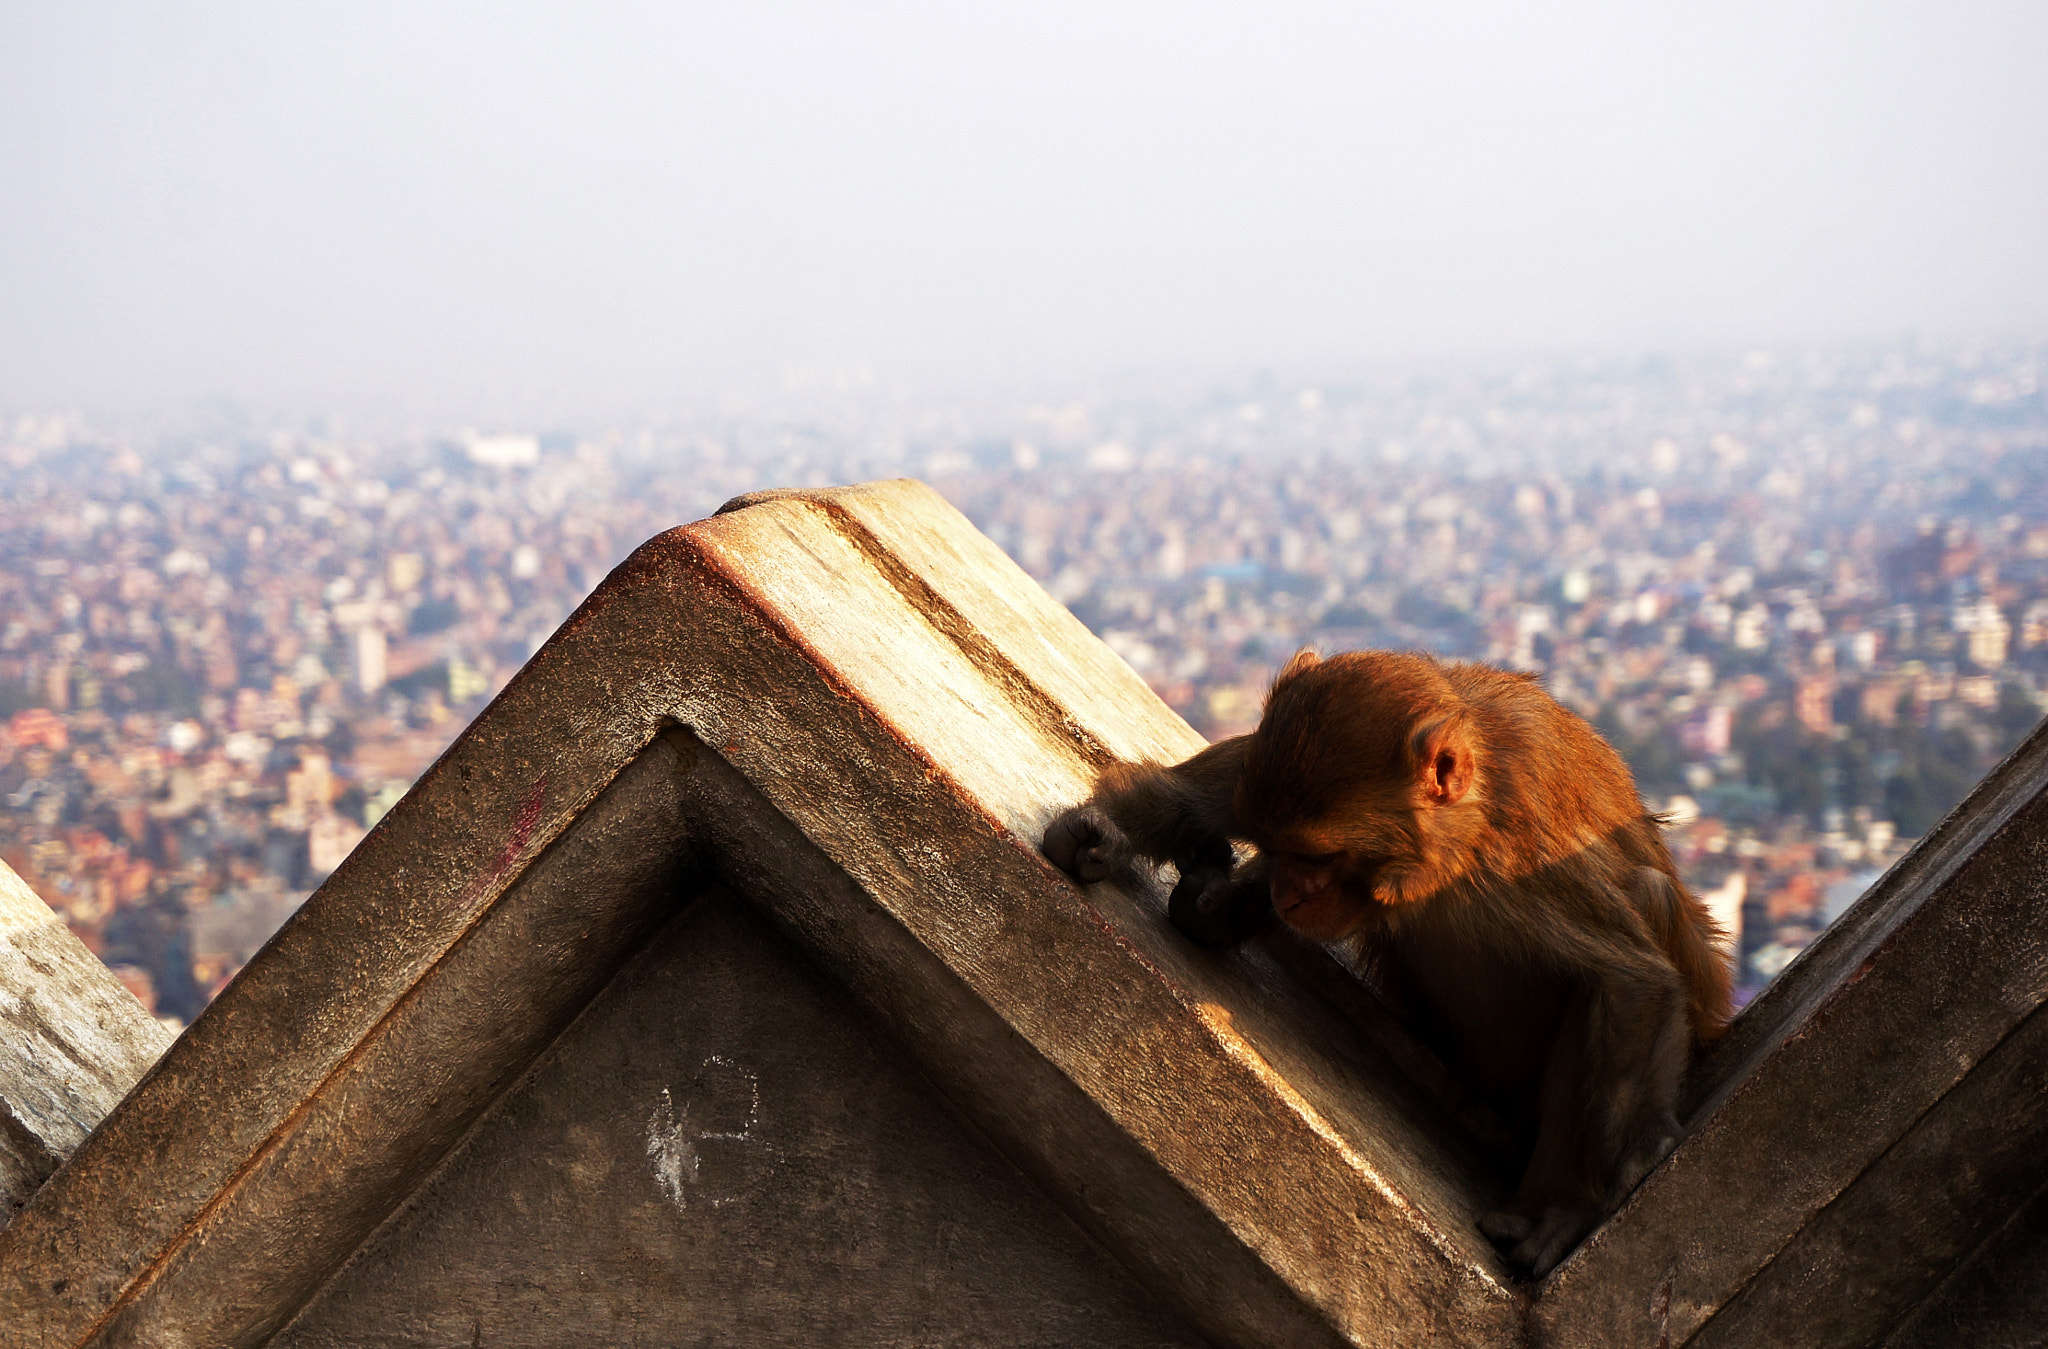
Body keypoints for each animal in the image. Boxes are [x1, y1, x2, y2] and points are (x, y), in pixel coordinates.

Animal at [1043, 649, 1732, 1278]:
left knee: (1647, 897)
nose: (1287, 893)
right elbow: (1190, 798)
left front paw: (1576, 1205)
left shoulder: (1527, 861)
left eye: (1318, 858)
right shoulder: (1260, 768)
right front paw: (1100, 834)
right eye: (1275, 845)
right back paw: (1220, 912)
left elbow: (1631, 981)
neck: (1458, 840)